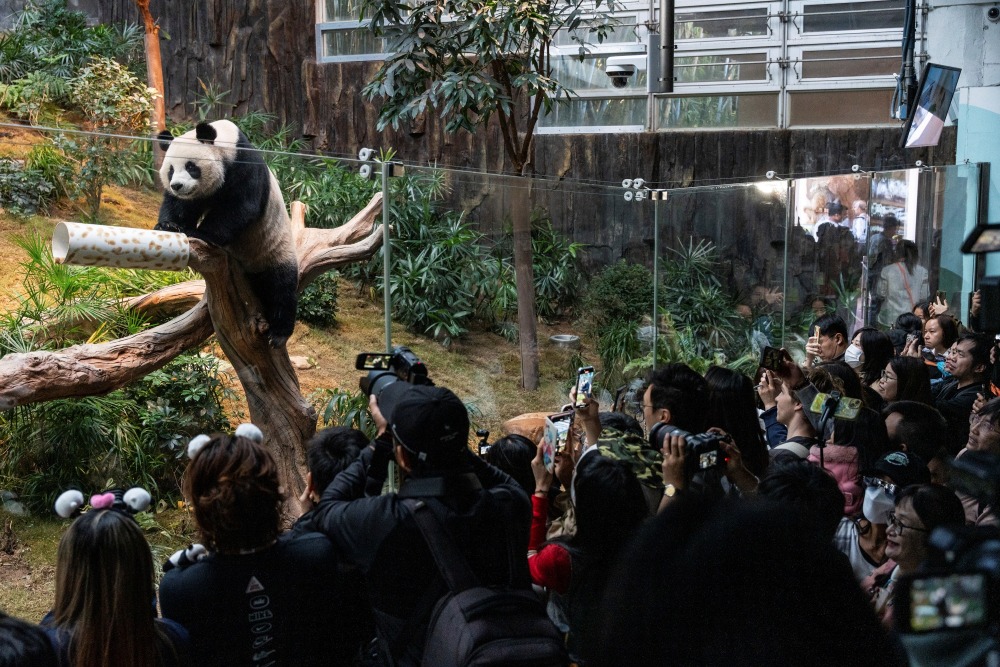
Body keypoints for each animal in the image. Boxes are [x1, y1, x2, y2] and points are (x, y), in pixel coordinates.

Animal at [154, 120, 298, 350]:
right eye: (170, 170)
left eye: (191, 167)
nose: (177, 185)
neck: (227, 141)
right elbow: (178, 204)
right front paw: (168, 225)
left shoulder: (244, 167)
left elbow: (239, 207)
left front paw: (198, 232)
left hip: (274, 248)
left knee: (281, 286)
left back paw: (279, 333)